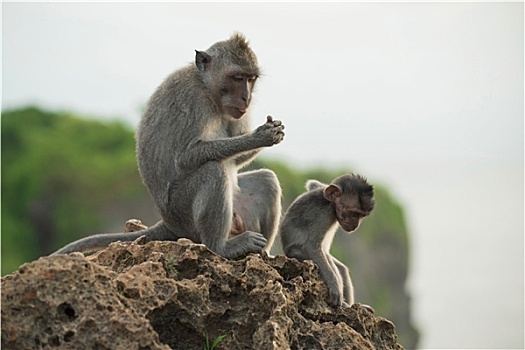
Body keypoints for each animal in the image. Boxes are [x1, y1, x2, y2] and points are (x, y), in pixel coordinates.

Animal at [54, 33, 284, 258]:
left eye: (251, 79)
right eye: (237, 78)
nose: (247, 97)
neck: (208, 89)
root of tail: (169, 223)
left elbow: (237, 159)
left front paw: (274, 130)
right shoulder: (192, 98)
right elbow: (186, 157)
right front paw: (261, 136)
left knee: (266, 179)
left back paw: (264, 254)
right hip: (183, 214)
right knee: (213, 170)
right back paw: (221, 247)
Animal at [278, 174, 372, 308]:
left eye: (361, 216)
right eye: (354, 214)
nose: (355, 225)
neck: (332, 206)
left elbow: (313, 184)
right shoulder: (323, 214)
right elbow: (311, 246)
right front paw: (334, 287)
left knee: (341, 268)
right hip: (296, 255)